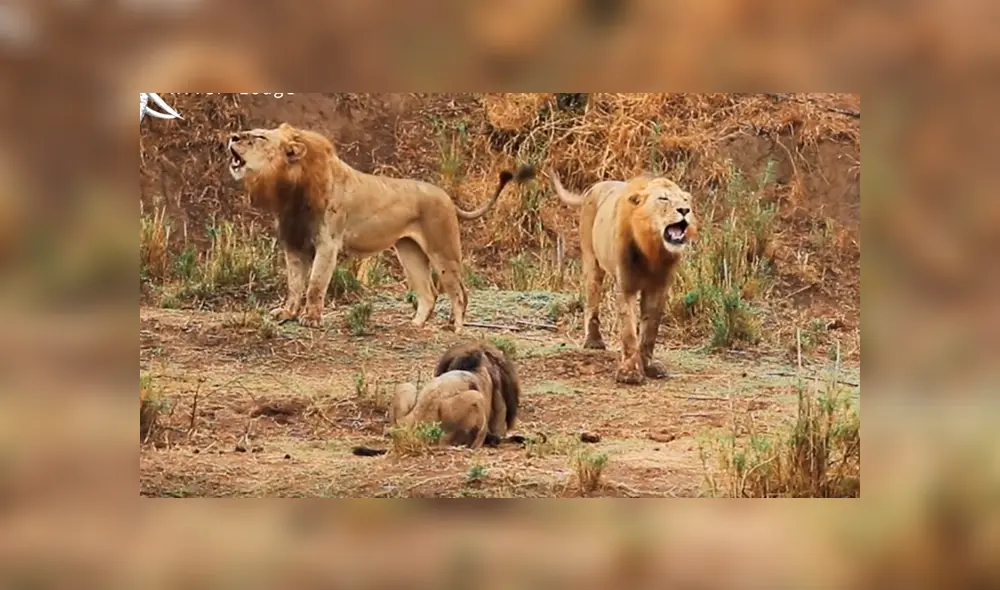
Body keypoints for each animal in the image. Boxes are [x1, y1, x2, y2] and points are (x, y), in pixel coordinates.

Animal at [227, 122, 534, 333]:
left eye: (259, 137)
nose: (232, 137)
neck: (290, 189)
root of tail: (447, 196)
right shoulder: (293, 243)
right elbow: (293, 284)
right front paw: (287, 313)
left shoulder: (328, 243)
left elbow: (315, 284)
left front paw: (311, 319)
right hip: (409, 252)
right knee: (429, 293)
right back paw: (414, 326)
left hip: (443, 249)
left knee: (459, 292)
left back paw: (455, 329)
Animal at [548, 168, 697, 384]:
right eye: (663, 198)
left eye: (685, 200)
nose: (685, 210)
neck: (652, 250)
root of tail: (594, 186)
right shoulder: (626, 285)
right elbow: (628, 331)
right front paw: (630, 373)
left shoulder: (659, 287)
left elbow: (650, 329)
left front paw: (649, 366)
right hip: (592, 263)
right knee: (591, 302)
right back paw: (594, 341)